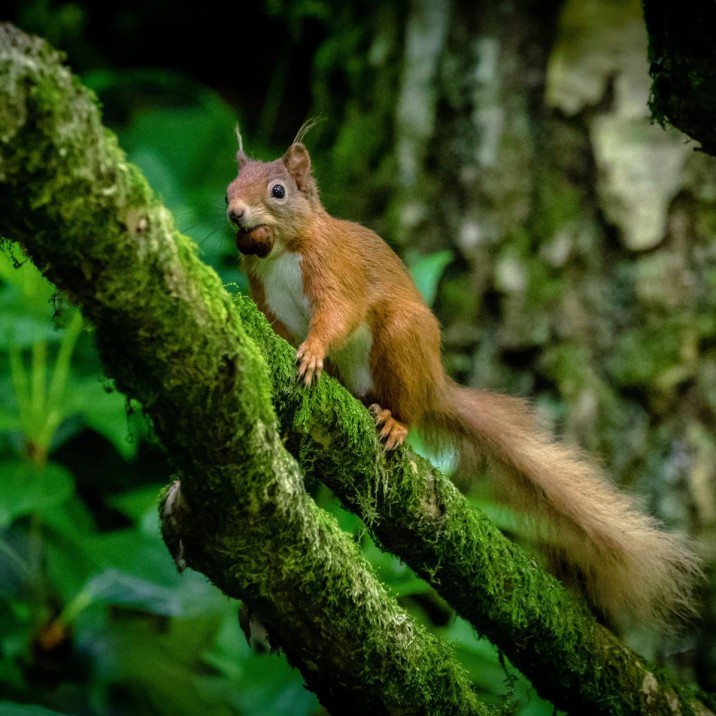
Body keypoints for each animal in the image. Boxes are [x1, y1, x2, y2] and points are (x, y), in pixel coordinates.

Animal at [225, 128, 703, 632]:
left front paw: (314, 351)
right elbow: (277, 328)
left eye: (278, 190)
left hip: (402, 340)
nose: (235, 212)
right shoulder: (270, 299)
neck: (282, 252)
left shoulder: (336, 269)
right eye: (230, 188)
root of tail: (434, 383)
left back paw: (394, 421)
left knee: (407, 404)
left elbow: (337, 314)